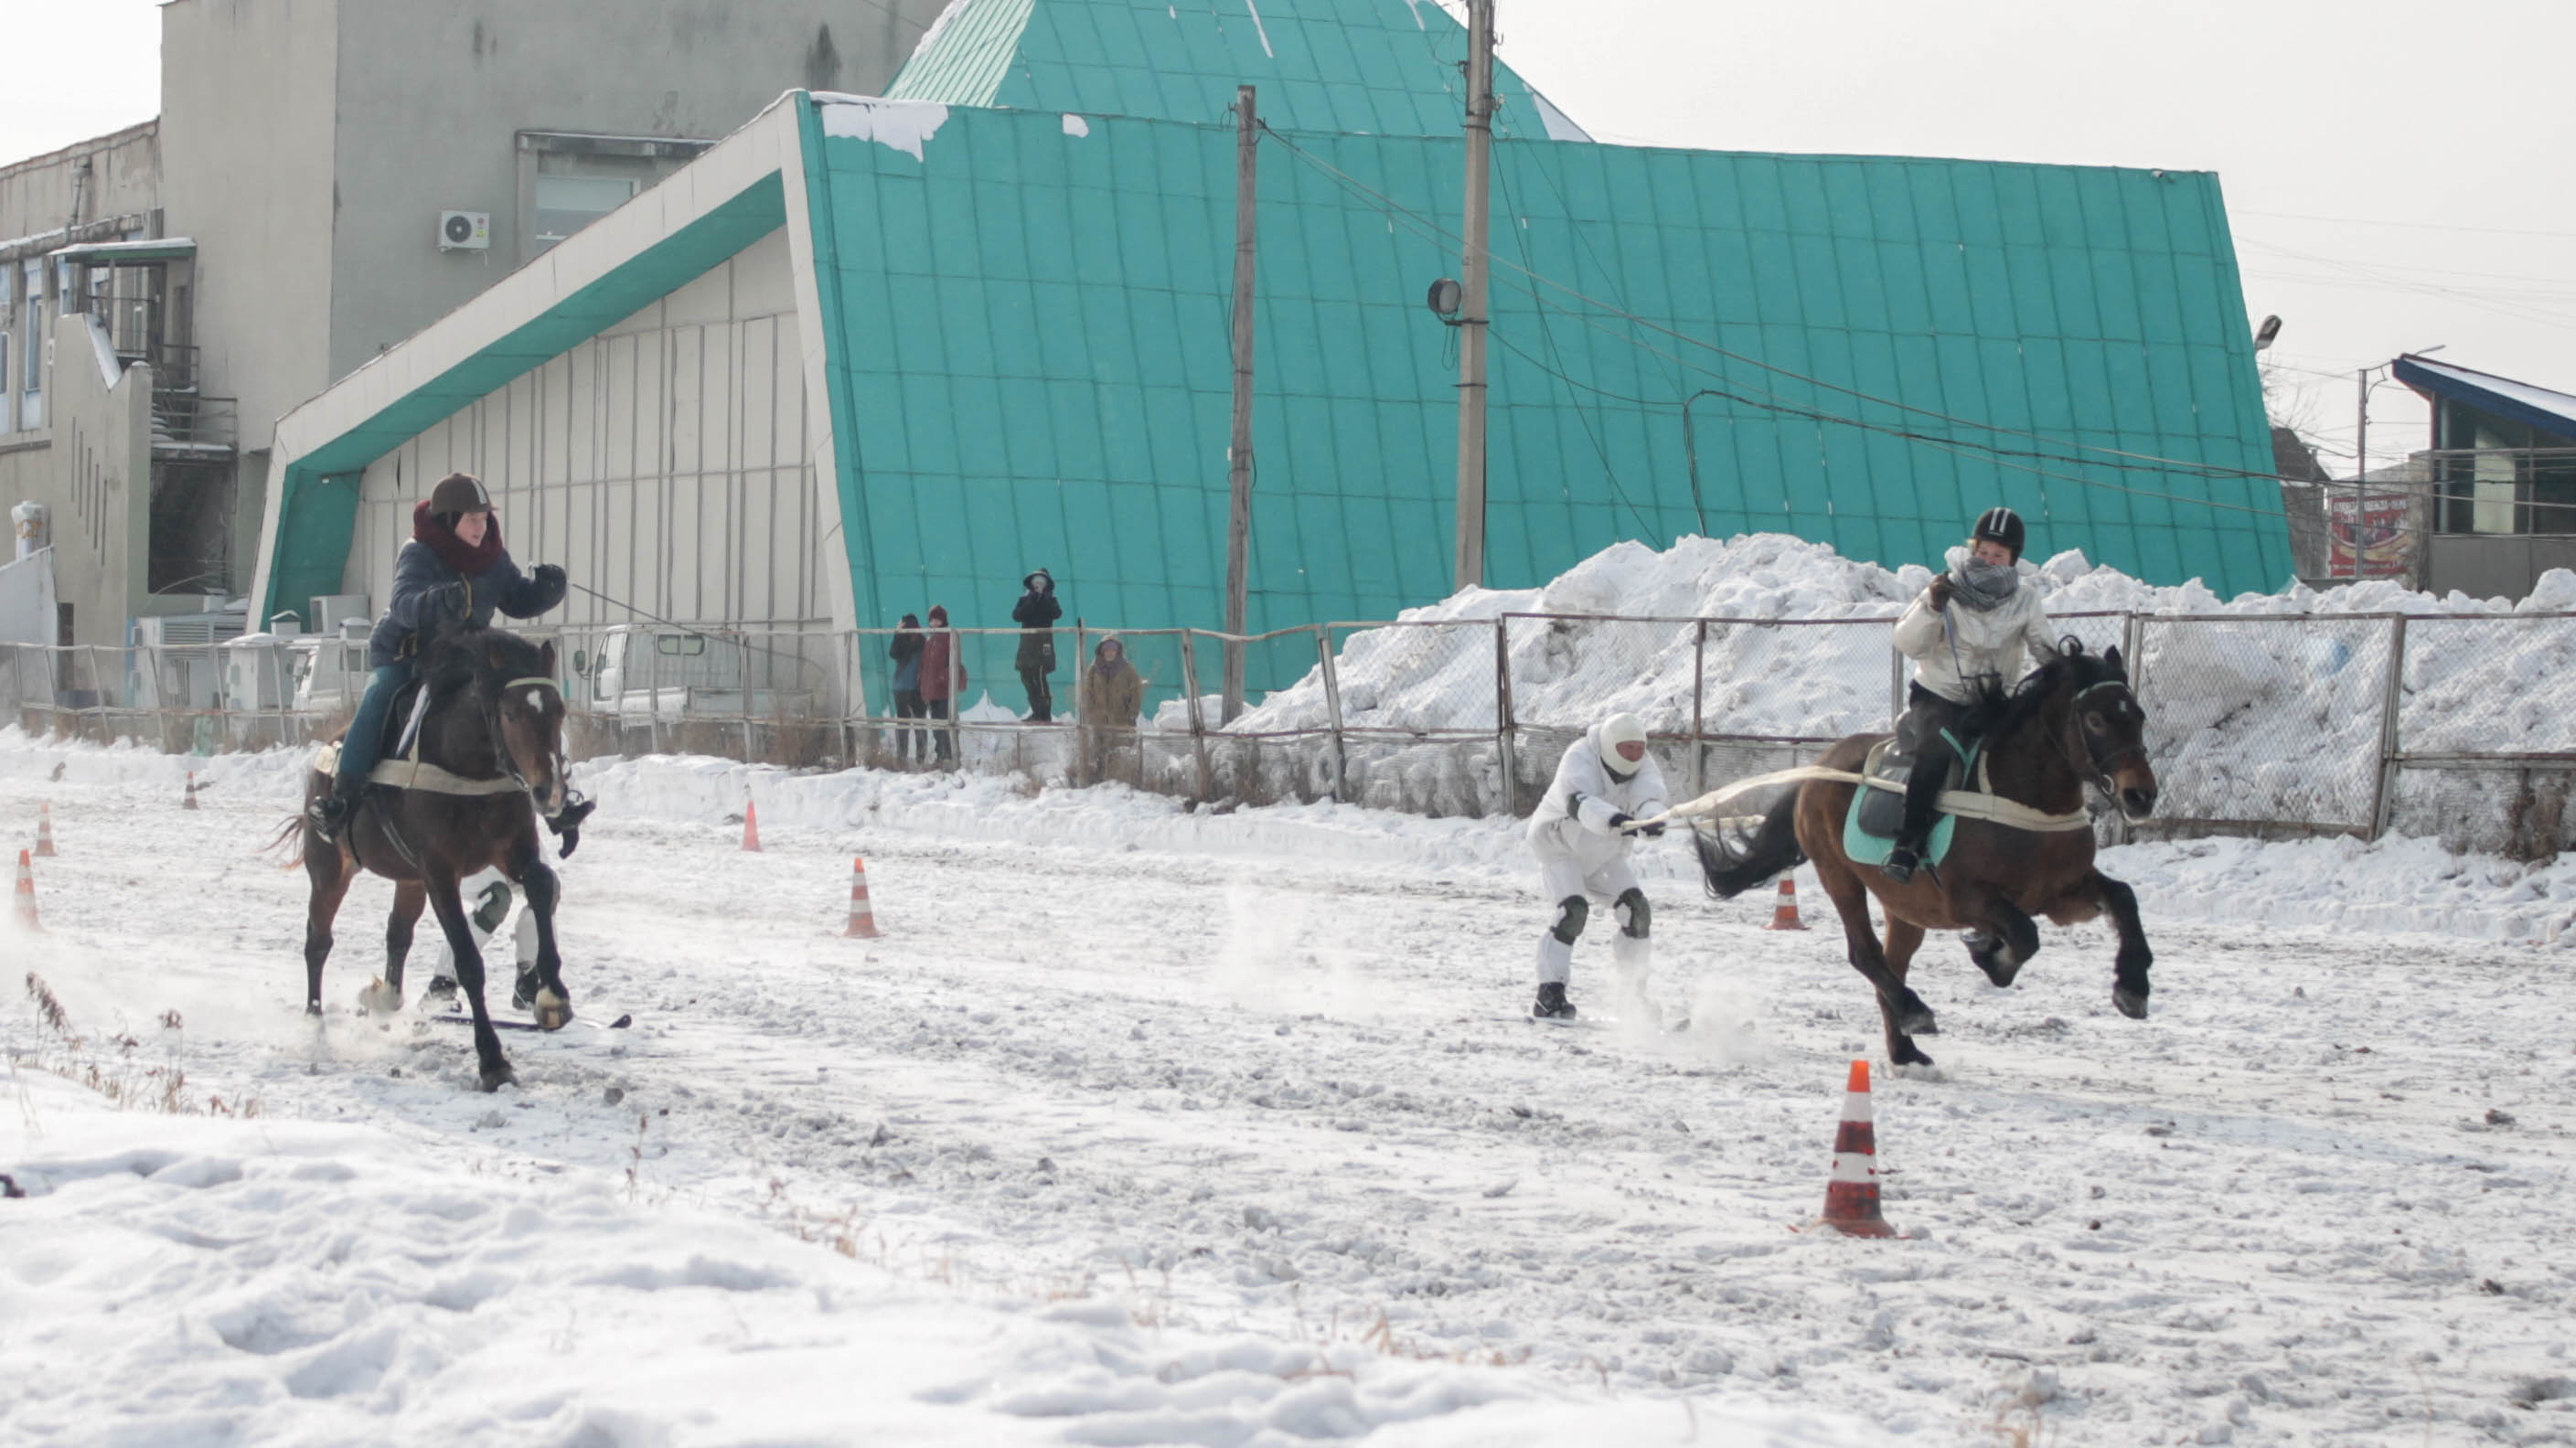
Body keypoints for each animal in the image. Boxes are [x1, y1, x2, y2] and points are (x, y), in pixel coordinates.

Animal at [289, 625, 577, 1087]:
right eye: (511, 713)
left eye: (558, 710)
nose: (550, 792)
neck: (469, 766)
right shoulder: (440, 872)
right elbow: (469, 961)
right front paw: (492, 1059)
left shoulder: (514, 850)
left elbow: (540, 882)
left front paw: (552, 995)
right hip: (330, 869)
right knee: (318, 942)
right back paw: (315, 1023)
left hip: (408, 880)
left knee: (398, 934)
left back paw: (385, 996)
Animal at [1700, 638, 2164, 1061]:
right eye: (2096, 719)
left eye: (2138, 715)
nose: (2141, 795)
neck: (2027, 801)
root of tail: (1820, 766)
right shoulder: (1965, 900)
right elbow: (2024, 934)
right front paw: (1991, 957)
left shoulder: (2060, 894)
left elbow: (2123, 897)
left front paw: (2132, 986)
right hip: (1838, 874)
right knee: (1865, 953)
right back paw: (1914, 1011)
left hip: (1906, 908)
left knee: (1892, 963)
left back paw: (1904, 1048)